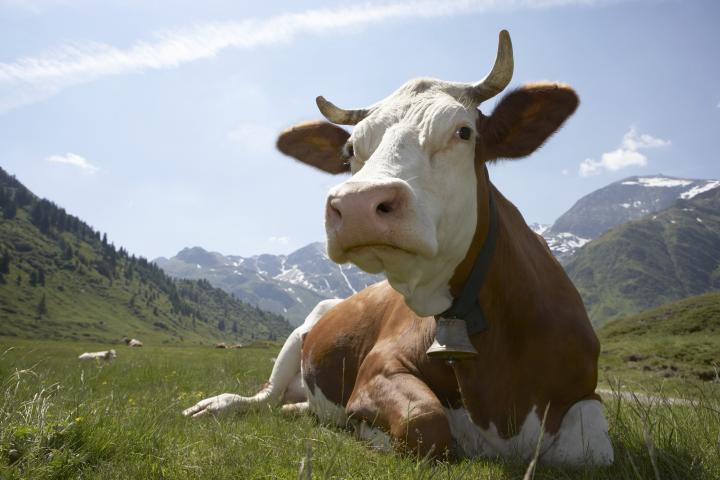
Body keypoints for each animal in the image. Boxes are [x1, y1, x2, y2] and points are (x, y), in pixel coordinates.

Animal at [183, 30, 613, 466]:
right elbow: (425, 421)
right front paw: (367, 432)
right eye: (350, 151)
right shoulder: (379, 367)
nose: (357, 204)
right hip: (296, 337)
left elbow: (593, 450)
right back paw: (218, 405)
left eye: (463, 132)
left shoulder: (585, 395)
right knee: (263, 398)